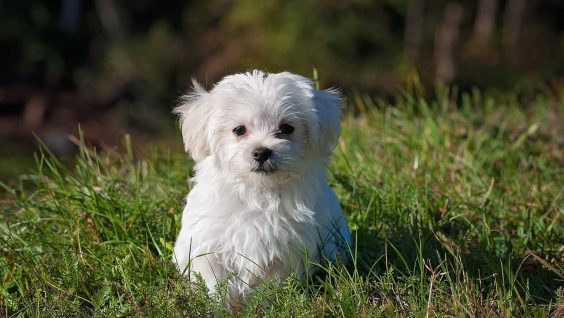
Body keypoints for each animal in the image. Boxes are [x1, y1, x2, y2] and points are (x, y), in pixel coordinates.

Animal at [172, 69, 350, 304]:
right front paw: (219, 305)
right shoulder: (208, 245)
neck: (258, 192)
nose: (261, 152)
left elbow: (272, 285)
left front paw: (268, 305)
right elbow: (215, 282)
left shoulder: (285, 251)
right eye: (239, 130)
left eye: (286, 128)